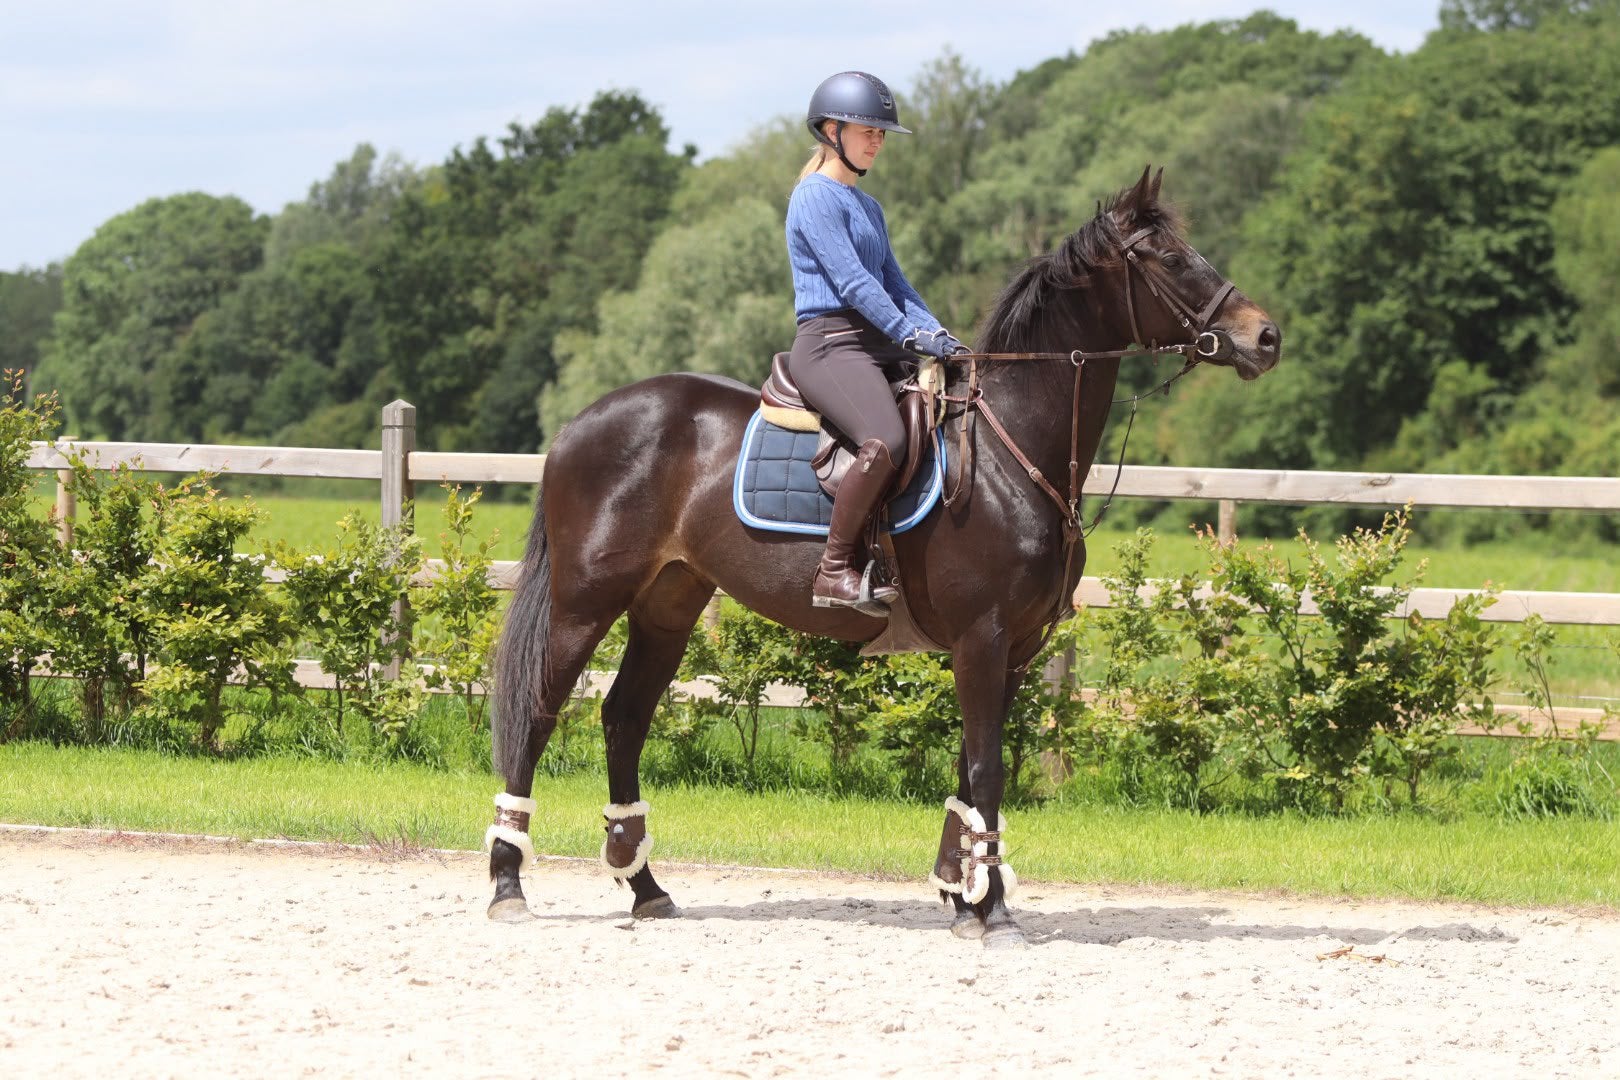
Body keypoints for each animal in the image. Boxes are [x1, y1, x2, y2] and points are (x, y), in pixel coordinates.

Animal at [484, 167, 1281, 947]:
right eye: (1170, 259)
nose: (1266, 337)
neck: (1009, 447)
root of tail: (581, 423)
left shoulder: (1014, 647)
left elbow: (970, 767)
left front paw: (961, 892)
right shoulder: (982, 638)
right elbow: (988, 767)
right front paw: (991, 909)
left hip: (668, 605)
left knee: (623, 718)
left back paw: (645, 887)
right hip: (586, 602)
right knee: (538, 712)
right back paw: (507, 884)